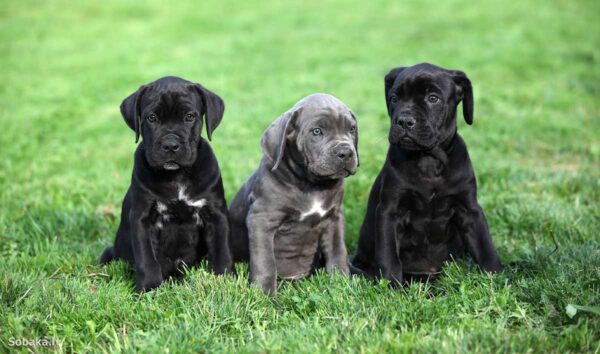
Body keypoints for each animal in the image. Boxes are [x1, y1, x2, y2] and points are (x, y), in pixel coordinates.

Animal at [101, 76, 234, 292]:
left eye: (189, 116)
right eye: (152, 118)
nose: (171, 145)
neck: (176, 176)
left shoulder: (216, 214)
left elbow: (223, 250)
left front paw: (226, 281)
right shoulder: (142, 218)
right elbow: (147, 259)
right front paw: (149, 288)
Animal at [230, 93, 358, 294]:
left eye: (351, 129)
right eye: (317, 131)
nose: (346, 152)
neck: (310, 184)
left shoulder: (334, 218)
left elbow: (337, 253)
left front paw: (341, 285)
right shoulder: (261, 219)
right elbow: (265, 261)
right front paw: (264, 294)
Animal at [352, 63, 502, 282]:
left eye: (433, 98)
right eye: (394, 98)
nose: (404, 121)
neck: (428, 160)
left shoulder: (469, 209)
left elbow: (485, 248)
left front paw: (497, 278)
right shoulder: (390, 211)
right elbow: (388, 254)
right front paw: (391, 284)